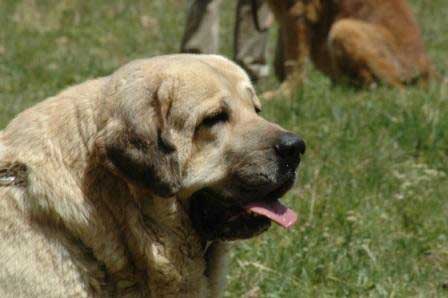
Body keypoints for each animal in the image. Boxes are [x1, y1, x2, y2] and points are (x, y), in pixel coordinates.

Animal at [260, 0, 436, 98]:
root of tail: (428, 70)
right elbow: (280, 60)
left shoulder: (297, 10)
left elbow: (293, 62)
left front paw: (284, 94)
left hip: (343, 28)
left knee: (394, 88)